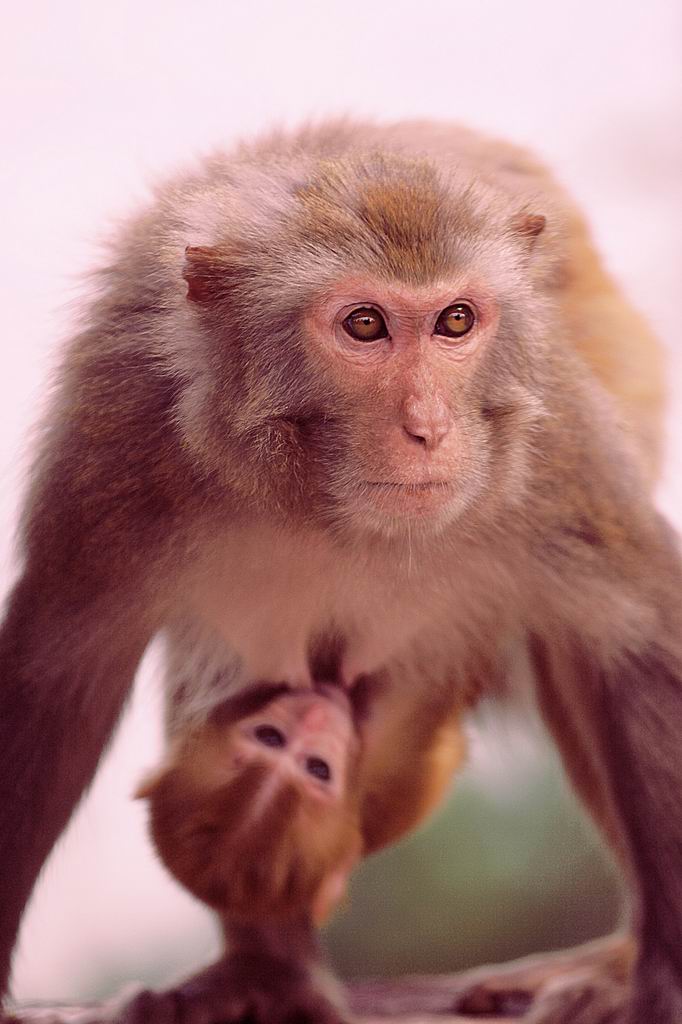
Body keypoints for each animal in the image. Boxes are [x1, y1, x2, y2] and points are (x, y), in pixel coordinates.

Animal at [0, 121, 675, 1024]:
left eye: (456, 320)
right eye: (364, 325)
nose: (428, 428)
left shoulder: (551, 435)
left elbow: (636, 641)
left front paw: (661, 980)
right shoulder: (118, 427)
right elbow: (56, 683)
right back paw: (268, 967)